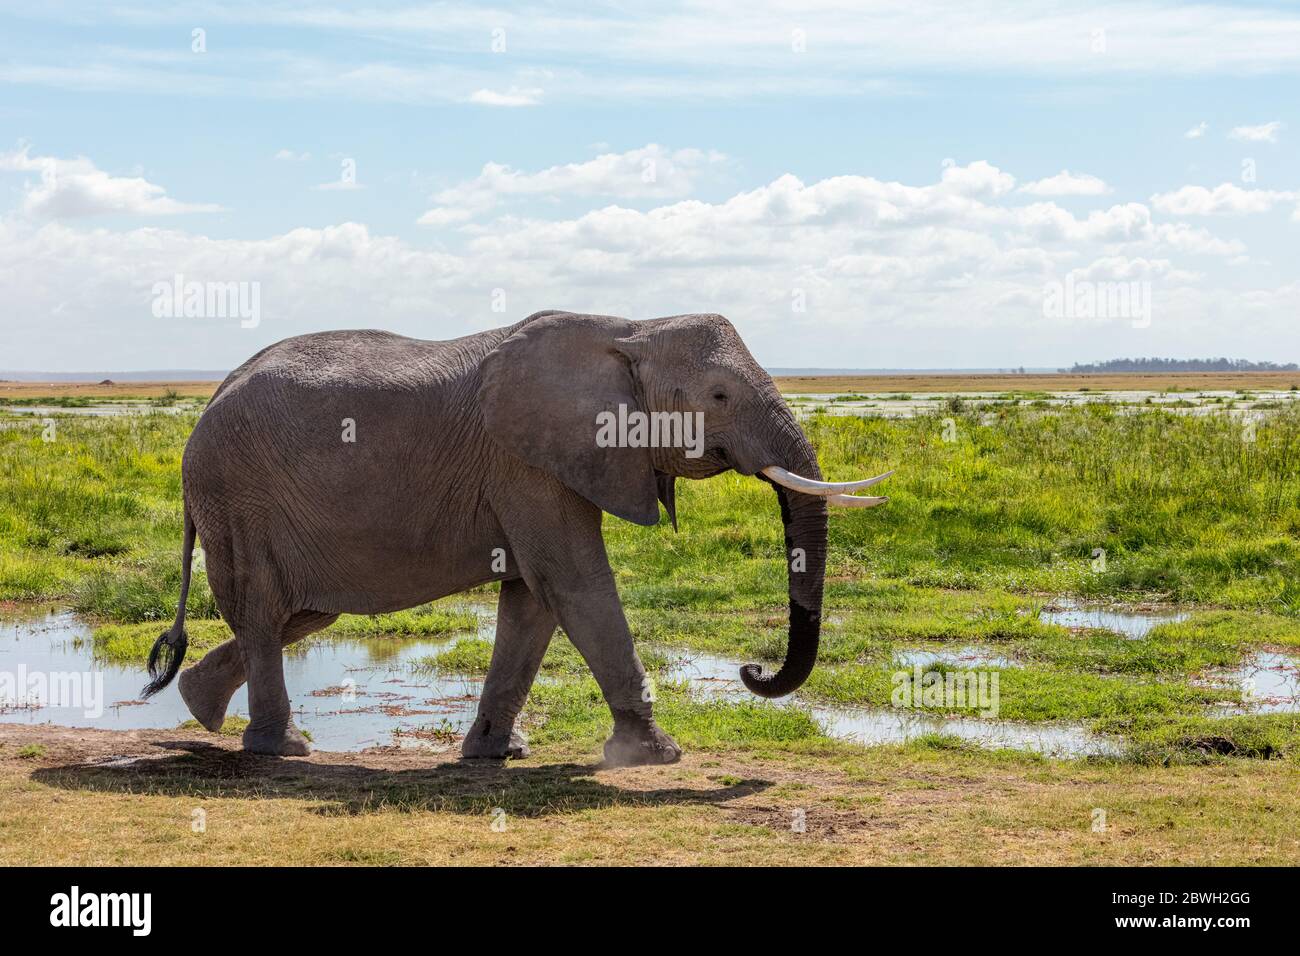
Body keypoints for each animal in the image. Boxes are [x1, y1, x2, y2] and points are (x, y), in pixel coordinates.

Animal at [144, 310, 894, 764]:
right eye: (717, 398)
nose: (752, 670)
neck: (630, 328)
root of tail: (210, 398)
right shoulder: (528, 462)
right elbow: (575, 583)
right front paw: (655, 755)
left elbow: (533, 600)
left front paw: (498, 754)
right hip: (236, 495)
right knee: (266, 609)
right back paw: (284, 749)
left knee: (296, 613)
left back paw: (203, 710)